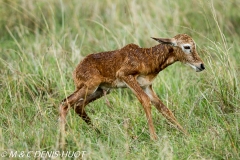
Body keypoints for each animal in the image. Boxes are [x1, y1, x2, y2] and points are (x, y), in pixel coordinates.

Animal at [59, 34, 204, 140]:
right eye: (187, 46)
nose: (201, 65)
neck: (147, 57)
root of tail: (77, 69)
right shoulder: (126, 76)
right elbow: (145, 101)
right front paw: (154, 138)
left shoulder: (146, 86)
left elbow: (164, 108)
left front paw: (187, 134)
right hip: (89, 88)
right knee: (64, 103)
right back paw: (63, 141)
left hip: (101, 91)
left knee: (78, 106)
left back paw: (99, 133)